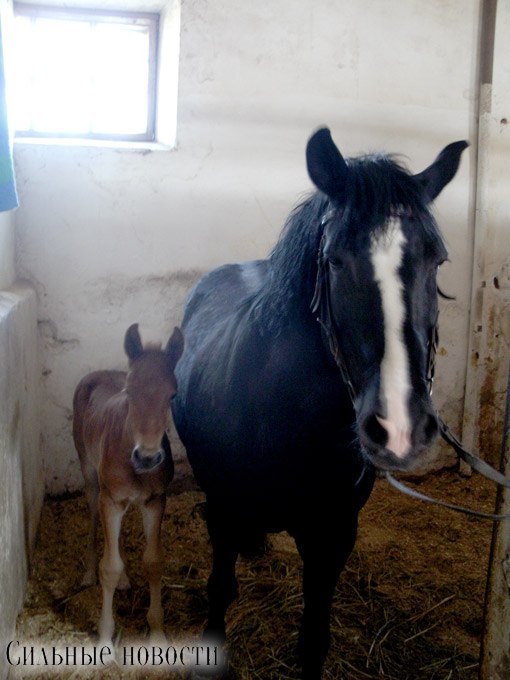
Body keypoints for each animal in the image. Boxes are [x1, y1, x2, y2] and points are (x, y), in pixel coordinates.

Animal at [71, 324, 183, 644]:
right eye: (130, 391)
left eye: (172, 395)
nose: (147, 457)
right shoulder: (110, 500)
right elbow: (108, 567)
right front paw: (105, 639)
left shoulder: (155, 500)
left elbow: (154, 562)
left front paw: (157, 632)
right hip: (91, 476)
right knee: (93, 516)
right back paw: (88, 573)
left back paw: (123, 578)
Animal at [173, 129, 468, 680]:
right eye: (334, 260)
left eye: (437, 260)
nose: (401, 427)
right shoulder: (223, 510)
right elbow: (220, 589)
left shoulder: (332, 535)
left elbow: (313, 640)